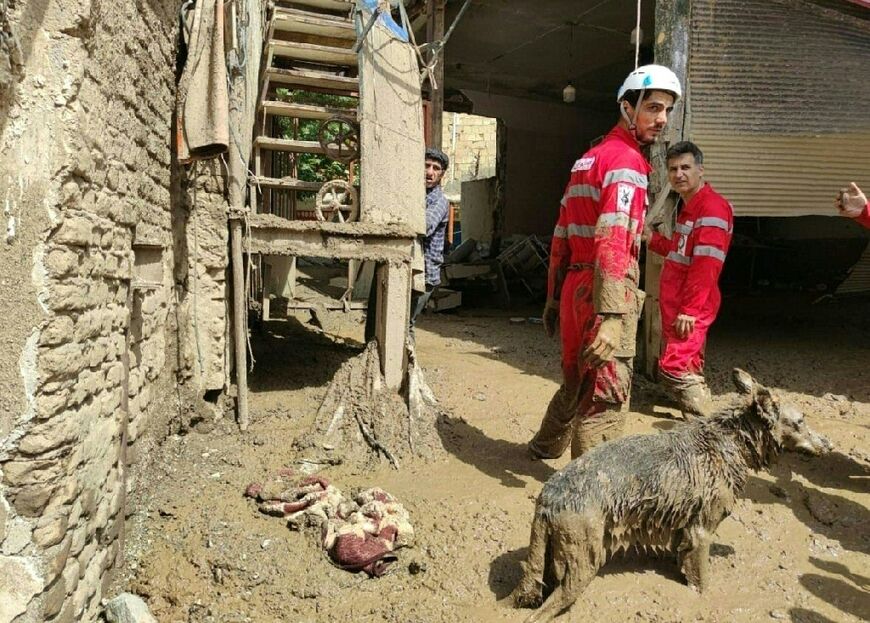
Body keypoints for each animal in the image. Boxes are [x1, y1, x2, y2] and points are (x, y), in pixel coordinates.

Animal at [516, 368, 836, 620]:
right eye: (800, 422)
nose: (829, 445)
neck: (730, 443)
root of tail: (546, 499)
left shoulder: (684, 529)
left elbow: (683, 560)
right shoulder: (702, 530)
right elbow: (701, 581)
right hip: (582, 564)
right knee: (541, 613)